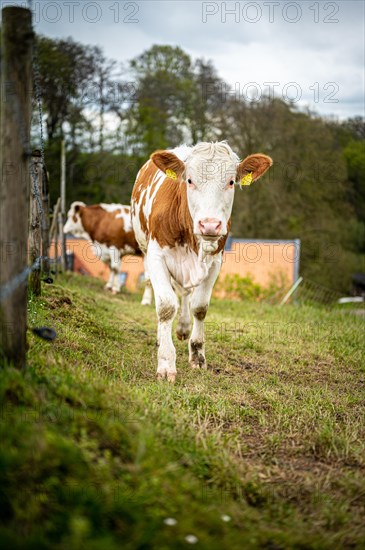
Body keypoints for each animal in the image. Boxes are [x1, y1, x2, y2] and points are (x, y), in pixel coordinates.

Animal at [132, 142, 272, 384]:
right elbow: (166, 306)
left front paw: (197, 353)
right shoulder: (156, 256)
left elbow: (199, 307)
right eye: (189, 180)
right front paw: (166, 362)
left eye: (231, 181)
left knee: (186, 294)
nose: (209, 225)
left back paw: (183, 328)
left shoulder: (215, 261)